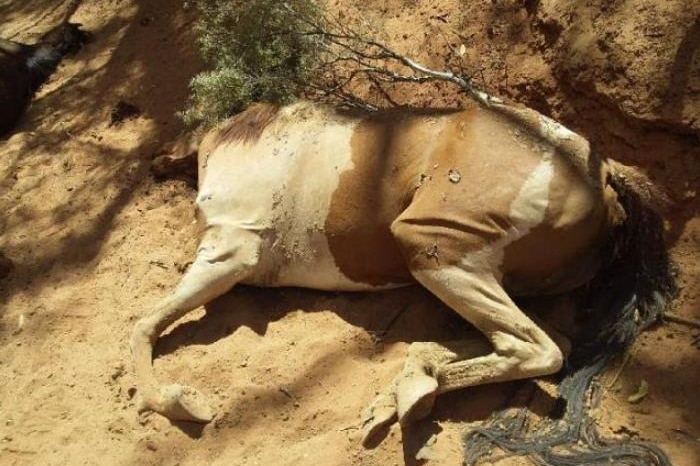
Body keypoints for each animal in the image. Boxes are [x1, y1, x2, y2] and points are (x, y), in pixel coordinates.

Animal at [130, 99, 672, 452]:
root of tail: (602, 172)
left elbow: (142, 326)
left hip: (430, 245)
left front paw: (184, 403)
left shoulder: (229, 252)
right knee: (542, 340)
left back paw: (413, 391)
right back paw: (408, 386)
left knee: (535, 348)